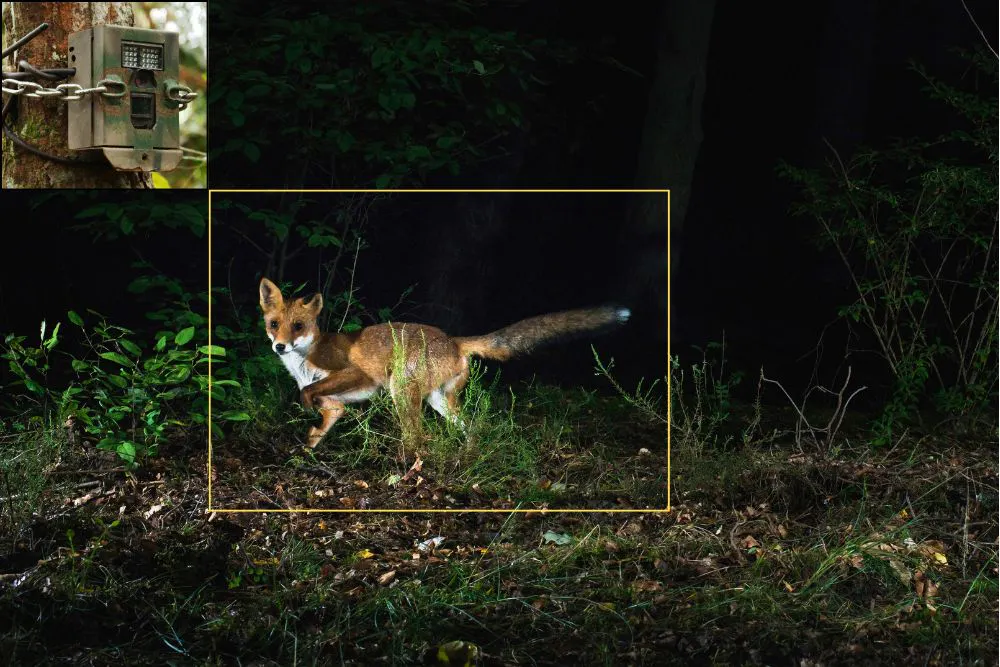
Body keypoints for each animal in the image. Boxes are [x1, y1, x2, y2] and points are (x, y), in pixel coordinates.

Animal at [259, 277, 630, 450]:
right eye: (274, 323)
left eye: (298, 326)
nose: (280, 346)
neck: (305, 362)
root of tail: (454, 339)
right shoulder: (336, 406)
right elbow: (318, 426)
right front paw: (304, 452)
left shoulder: (355, 373)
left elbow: (308, 394)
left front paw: (305, 409)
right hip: (440, 400)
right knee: (471, 428)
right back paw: (466, 460)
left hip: (401, 391)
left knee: (419, 438)